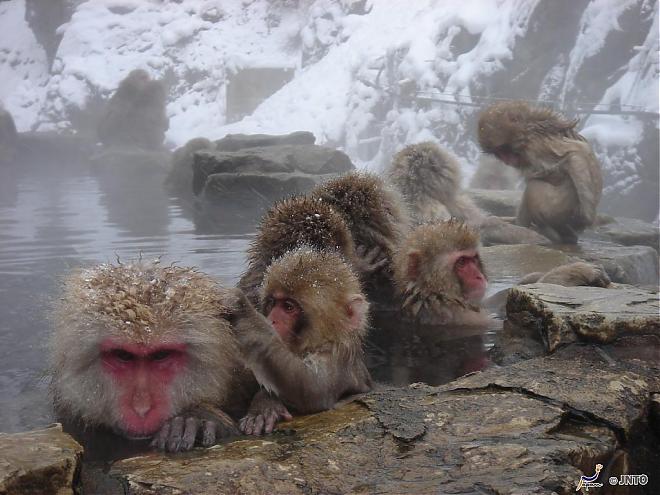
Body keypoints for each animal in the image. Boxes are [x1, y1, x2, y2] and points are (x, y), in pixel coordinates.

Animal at [231, 247, 371, 435]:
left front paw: (245, 314)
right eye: (273, 303)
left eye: (288, 307)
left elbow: (313, 389)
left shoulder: (337, 358)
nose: (271, 320)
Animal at [478, 101, 603, 244]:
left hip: (557, 209)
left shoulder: (534, 147)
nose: (506, 160)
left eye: (503, 150)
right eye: (499, 153)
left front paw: (586, 218)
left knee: (534, 185)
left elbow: (575, 155)